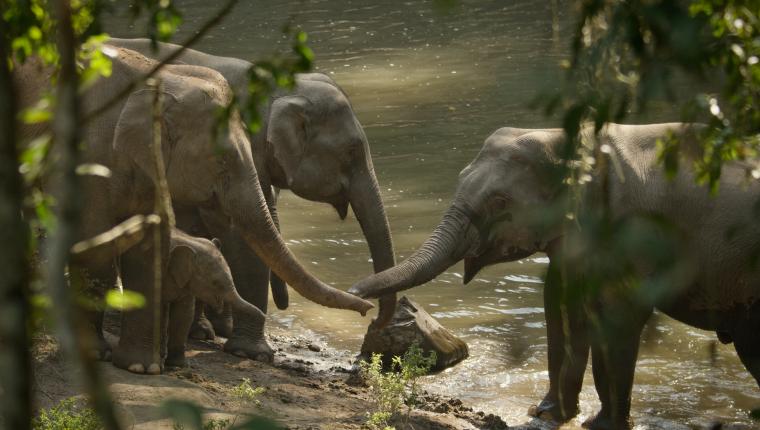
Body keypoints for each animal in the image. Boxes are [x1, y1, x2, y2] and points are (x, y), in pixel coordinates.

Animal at [16, 47, 372, 374]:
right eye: (221, 161)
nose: (366, 307)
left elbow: (150, 250)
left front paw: (140, 367)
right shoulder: (86, 160)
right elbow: (94, 244)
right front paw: (99, 355)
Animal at [348, 122, 760, 428]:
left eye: (500, 202)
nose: (356, 294)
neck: (579, 136)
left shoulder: (632, 231)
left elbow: (620, 314)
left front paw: (599, 425)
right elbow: (563, 302)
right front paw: (547, 413)